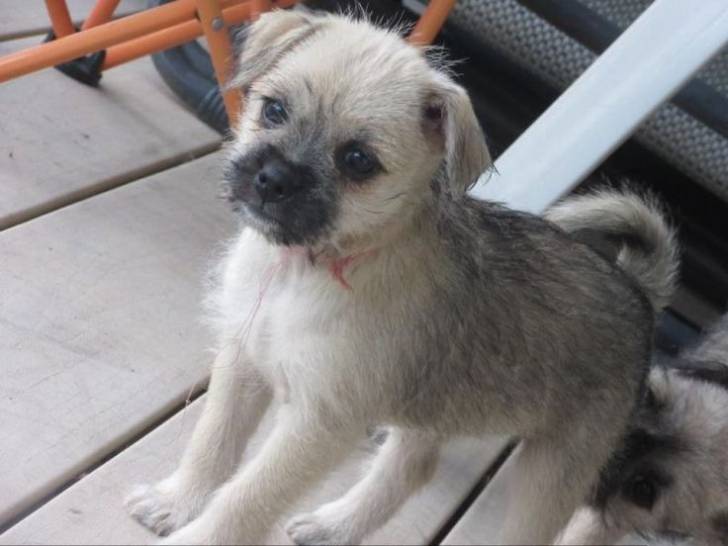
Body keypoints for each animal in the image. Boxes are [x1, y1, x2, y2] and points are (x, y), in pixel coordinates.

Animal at [126, 9, 676, 544]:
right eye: (274, 110)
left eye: (357, 161)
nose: (272, 178)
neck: (302, 270)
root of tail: (637, 290)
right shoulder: (243, 363)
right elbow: (213, 442)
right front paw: (176, 501)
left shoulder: (319, 421)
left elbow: (248, 497)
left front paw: (196, 534)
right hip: (437, 403)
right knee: (410, 469)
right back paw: (336, 525)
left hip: (553, 470)